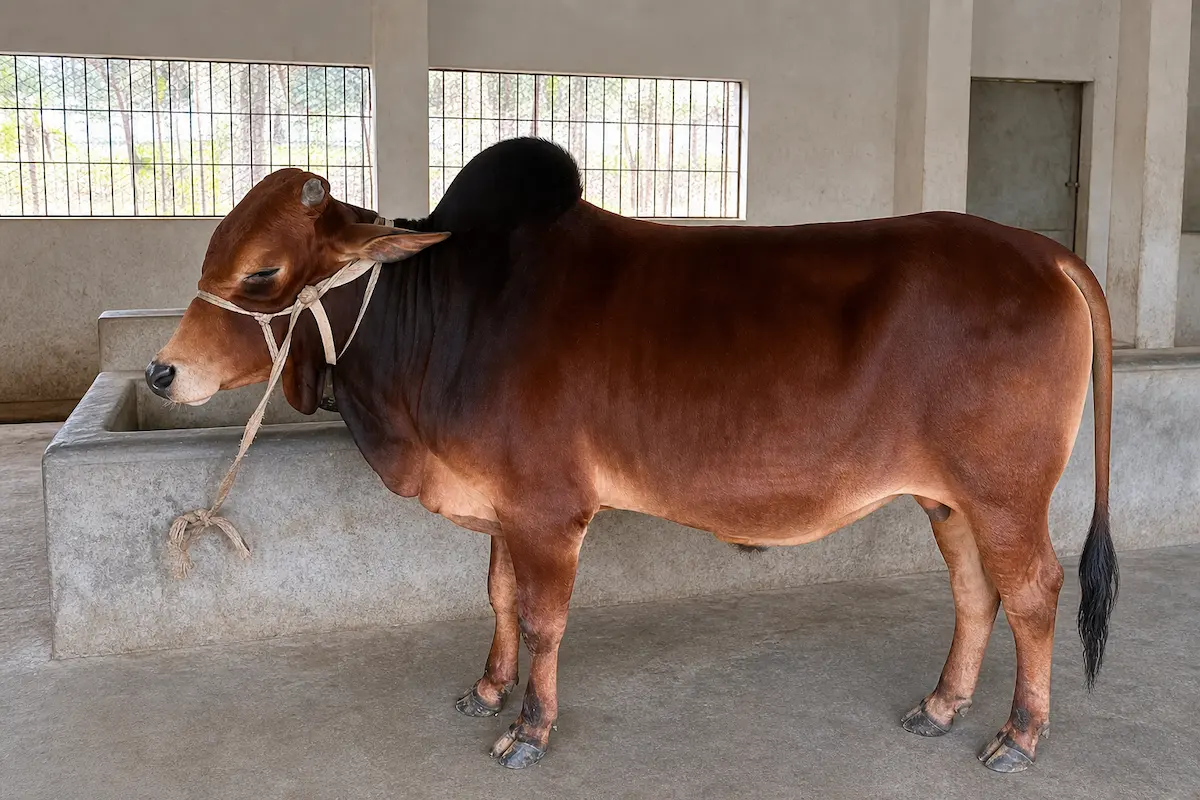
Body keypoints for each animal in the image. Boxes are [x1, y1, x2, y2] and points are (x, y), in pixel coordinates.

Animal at [146, 137, 1117, 772]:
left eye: (262, 274)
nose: (161, 371)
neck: (447, 315)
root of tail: (1047, 254)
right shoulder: (505, 508)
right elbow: (499, 600)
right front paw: (487, 691)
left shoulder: (548, 511)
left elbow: (544, 620)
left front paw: (529, 730)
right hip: (949, 498)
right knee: (975, 594)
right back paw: (942, 707)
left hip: (1007, 495)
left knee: (1035, 592)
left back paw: (1019, 736)